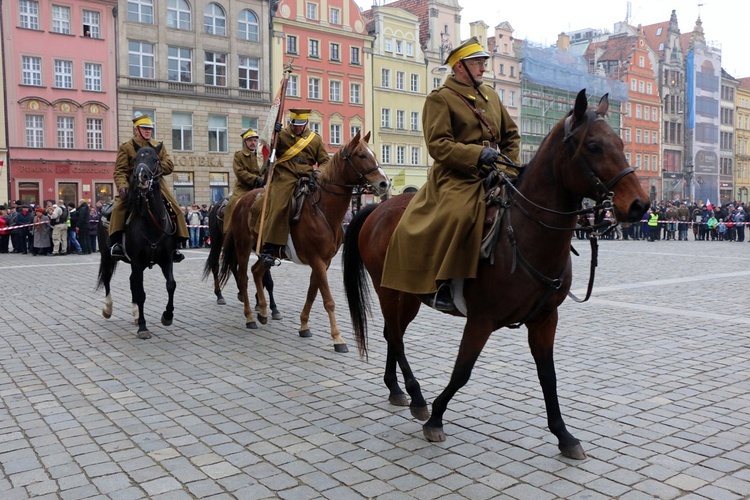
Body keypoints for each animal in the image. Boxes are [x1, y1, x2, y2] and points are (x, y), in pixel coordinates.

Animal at [97, 145, 179, 340]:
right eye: (136, 159)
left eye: (155, 159)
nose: (141, 177)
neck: (152, 223)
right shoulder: (137, 261)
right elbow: (141, 293)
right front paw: (143, 327)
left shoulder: (167, 260)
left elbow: (171, 285)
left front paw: (167, 316)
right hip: (106, 256)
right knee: (107, 279)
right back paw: (108, 309)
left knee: (132, 281)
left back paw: (135, 314)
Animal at [217, 131, 390, 354]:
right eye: (361, 155)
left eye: (375, 154)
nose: (384, 183)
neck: (322, 210)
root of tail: (241, 201)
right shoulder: (317, 261)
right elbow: (328, 300)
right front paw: (338, 338)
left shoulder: (323, 262)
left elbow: (312, 294)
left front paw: (304, 325)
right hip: (243, 247)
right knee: (243, 277)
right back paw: (250, 317)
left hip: (267, 252)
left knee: (256, 272)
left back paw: (263, 311)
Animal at [342, 89, 652, 458]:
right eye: (593, 146)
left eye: (620, 142)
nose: (640, 204)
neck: (523, 234)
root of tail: (378, 209)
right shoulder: (481, 320)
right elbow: (462, 371)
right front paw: (436, 419)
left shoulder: (545, 319)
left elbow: (548, 375)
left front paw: (564, 435)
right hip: (388, 290)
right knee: (396, 337)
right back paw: (417, 396)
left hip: (410, 296)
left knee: (394, 334)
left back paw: (397, 390)